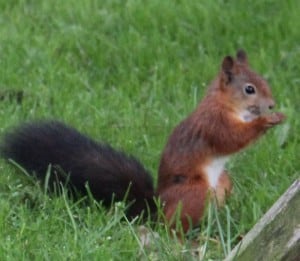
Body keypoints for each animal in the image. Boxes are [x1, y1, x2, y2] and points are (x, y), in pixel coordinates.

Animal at [0, 49, 284, 232]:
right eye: (249, 89)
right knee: (172, 229)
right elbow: (231, 139)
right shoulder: (213, 124)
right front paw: (266, 121)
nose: (271, 104)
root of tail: (157, 207)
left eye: (263, 81)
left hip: (222, 184)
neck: (225, 103)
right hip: (195, 192)